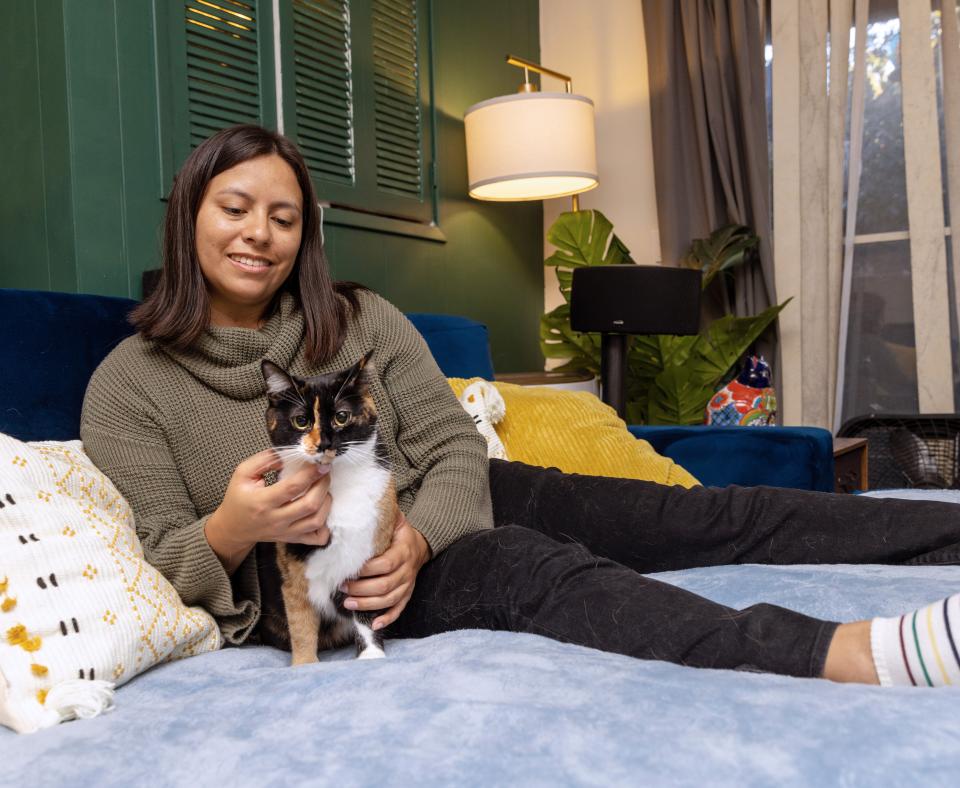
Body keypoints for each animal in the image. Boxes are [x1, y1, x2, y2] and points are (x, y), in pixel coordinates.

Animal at [256, 356, 396, 664]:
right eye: (301, 421)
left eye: (341, 416)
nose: (324, 443)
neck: (336, 486)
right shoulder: (292, 566)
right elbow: (301, 622)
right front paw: (305, 665)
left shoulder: (370, 556)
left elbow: (366, 614)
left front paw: (372, 655)